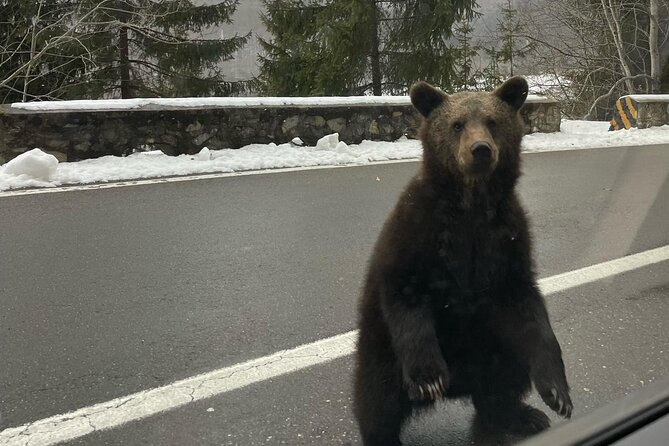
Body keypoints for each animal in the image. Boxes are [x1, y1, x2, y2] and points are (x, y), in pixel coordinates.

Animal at [353, 76, 572, 446]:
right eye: (457, 124)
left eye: (492, 121)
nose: (480, 149)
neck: (472, 205)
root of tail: (461, 387)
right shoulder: (418, 230)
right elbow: (405, 293)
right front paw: (428, 378)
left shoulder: (506, 239)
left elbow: (529, 309)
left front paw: (557, 393)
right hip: (380, 351)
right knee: (378, 399)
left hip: (492, 346)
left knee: (504, 379)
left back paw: (521, 416)